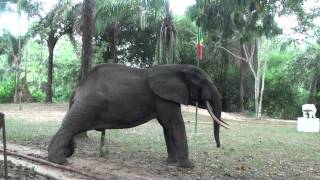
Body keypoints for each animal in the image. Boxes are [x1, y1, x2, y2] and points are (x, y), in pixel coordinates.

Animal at [47, 63, 228, 167]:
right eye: (203, 82)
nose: (219, 146)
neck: (177, 68)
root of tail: (78, 88)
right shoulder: (163, 98)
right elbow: (175, 124)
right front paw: (188, 166)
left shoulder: (164, 98)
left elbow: (167, 127)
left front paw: (172, 162)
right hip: (88, 105)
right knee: (70, 126)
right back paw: (60, 161)